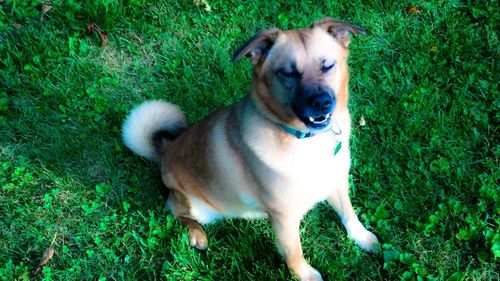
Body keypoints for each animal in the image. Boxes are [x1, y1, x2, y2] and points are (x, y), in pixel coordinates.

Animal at [122, 18, 378, 280]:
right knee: (174, 210)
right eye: (288, 73)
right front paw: (306, 275)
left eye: (328, 66)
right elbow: (294, 254)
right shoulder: (284, 218)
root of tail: (165, 151)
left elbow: (349, 214)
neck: (305, 141)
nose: (321, 102)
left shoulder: (336, 182)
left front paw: (363, 238)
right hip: (195, 205)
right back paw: (196, 234)